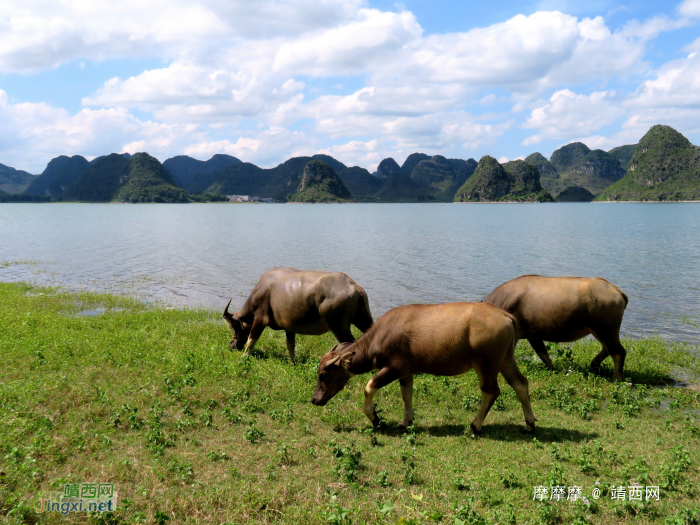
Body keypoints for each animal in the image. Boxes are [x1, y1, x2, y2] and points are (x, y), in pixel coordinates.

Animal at [221, 268, 374, 362]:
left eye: (234, 326)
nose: (231, 345)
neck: (264, 289)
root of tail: (352, 285)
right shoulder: (289, 327)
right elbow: (290, 345)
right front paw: (293, 362)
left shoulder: (260, 319)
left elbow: (251, 340)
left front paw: (244, 356)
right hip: (363, 320)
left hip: (338, 327)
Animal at [310, 302, 536, 434]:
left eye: (323, 375)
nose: (314, 399)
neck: (380, 337)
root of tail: (506, 316)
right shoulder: (406, 372)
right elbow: (406, 394)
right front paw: (406, 421)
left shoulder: (394, 368)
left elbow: (369, 386)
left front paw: (375, 419)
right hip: (506, 359)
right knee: (520, 383)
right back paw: (530, 424)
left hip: (487, 364)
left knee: (491, 391)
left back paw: (475, 425)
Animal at [486, 274, 628, 380]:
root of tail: (616, 290)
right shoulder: (533, 336)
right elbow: (544, 355)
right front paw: (553, 370)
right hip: (603, 331)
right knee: (607, 349)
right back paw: (593, 366)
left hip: (604, 330)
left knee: (618, 352)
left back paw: (616, 379)